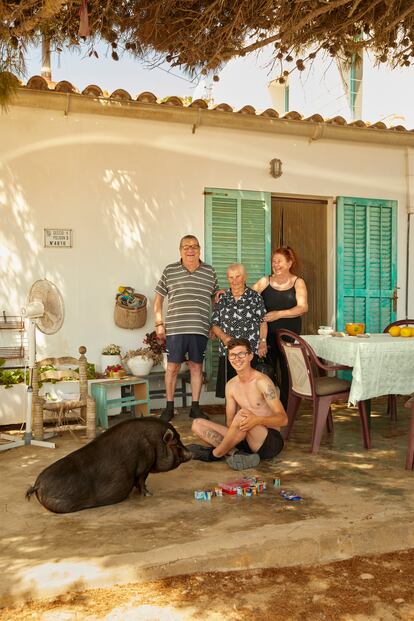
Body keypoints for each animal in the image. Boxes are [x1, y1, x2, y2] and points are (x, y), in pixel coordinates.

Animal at [26, 416, 192, 512]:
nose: (191, 453)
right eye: (176, 444)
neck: (154, 443)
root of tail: (37, 485)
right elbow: (141, 481)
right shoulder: (143, 466)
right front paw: (149, 494)